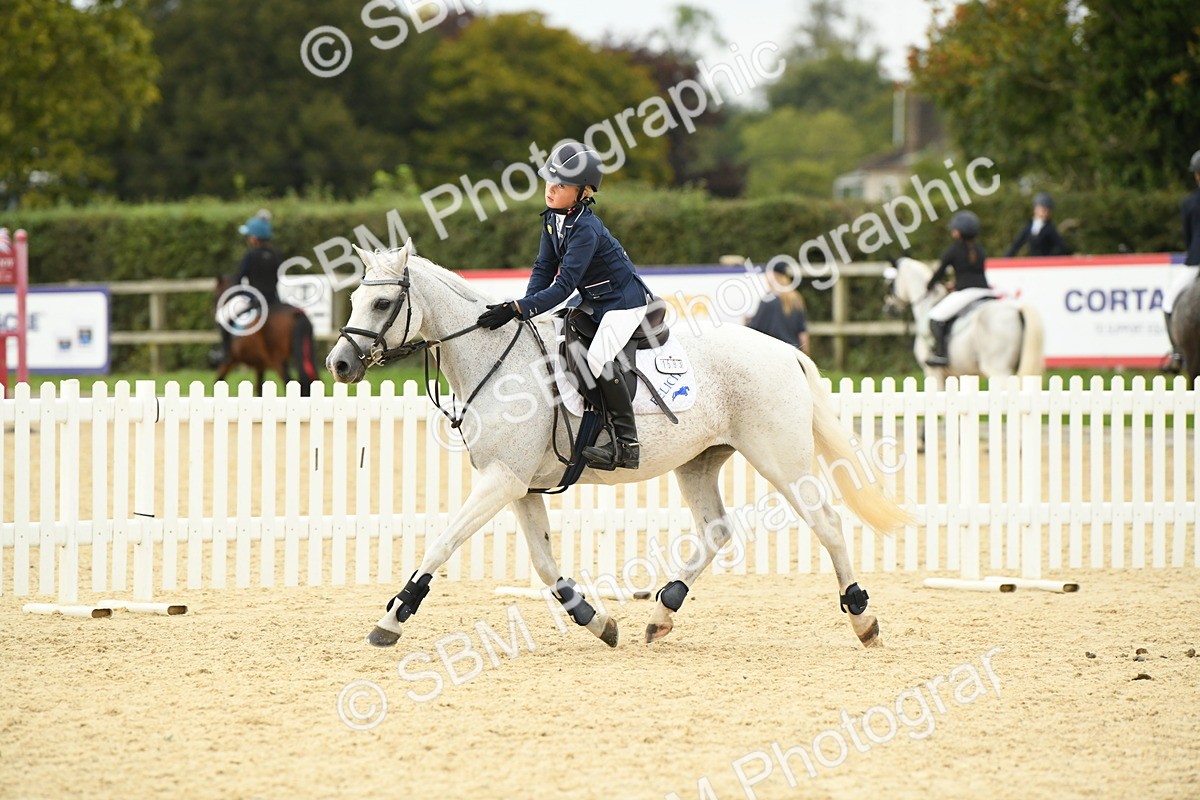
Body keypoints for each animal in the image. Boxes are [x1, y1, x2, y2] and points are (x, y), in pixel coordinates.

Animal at [326, 240, 911, 650]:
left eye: (382, 301)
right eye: (354, 298)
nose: (339, 363)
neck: (496, 359)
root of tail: (784, 350)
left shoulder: (501, 481)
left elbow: (441, 544)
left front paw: (391, 619)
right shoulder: (519, 487)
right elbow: (545, 564)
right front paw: (597, 620)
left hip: (780, 459)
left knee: (827, 524)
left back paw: (862, 618)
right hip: (698, 462)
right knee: (717, 530)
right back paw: (661, 612)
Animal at [883, 256, 1045, 390]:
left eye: (891, 284)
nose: (888, 308)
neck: (927, 306)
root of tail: (1016, 309)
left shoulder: (933, 372)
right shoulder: (957, 375)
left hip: (998, 369)